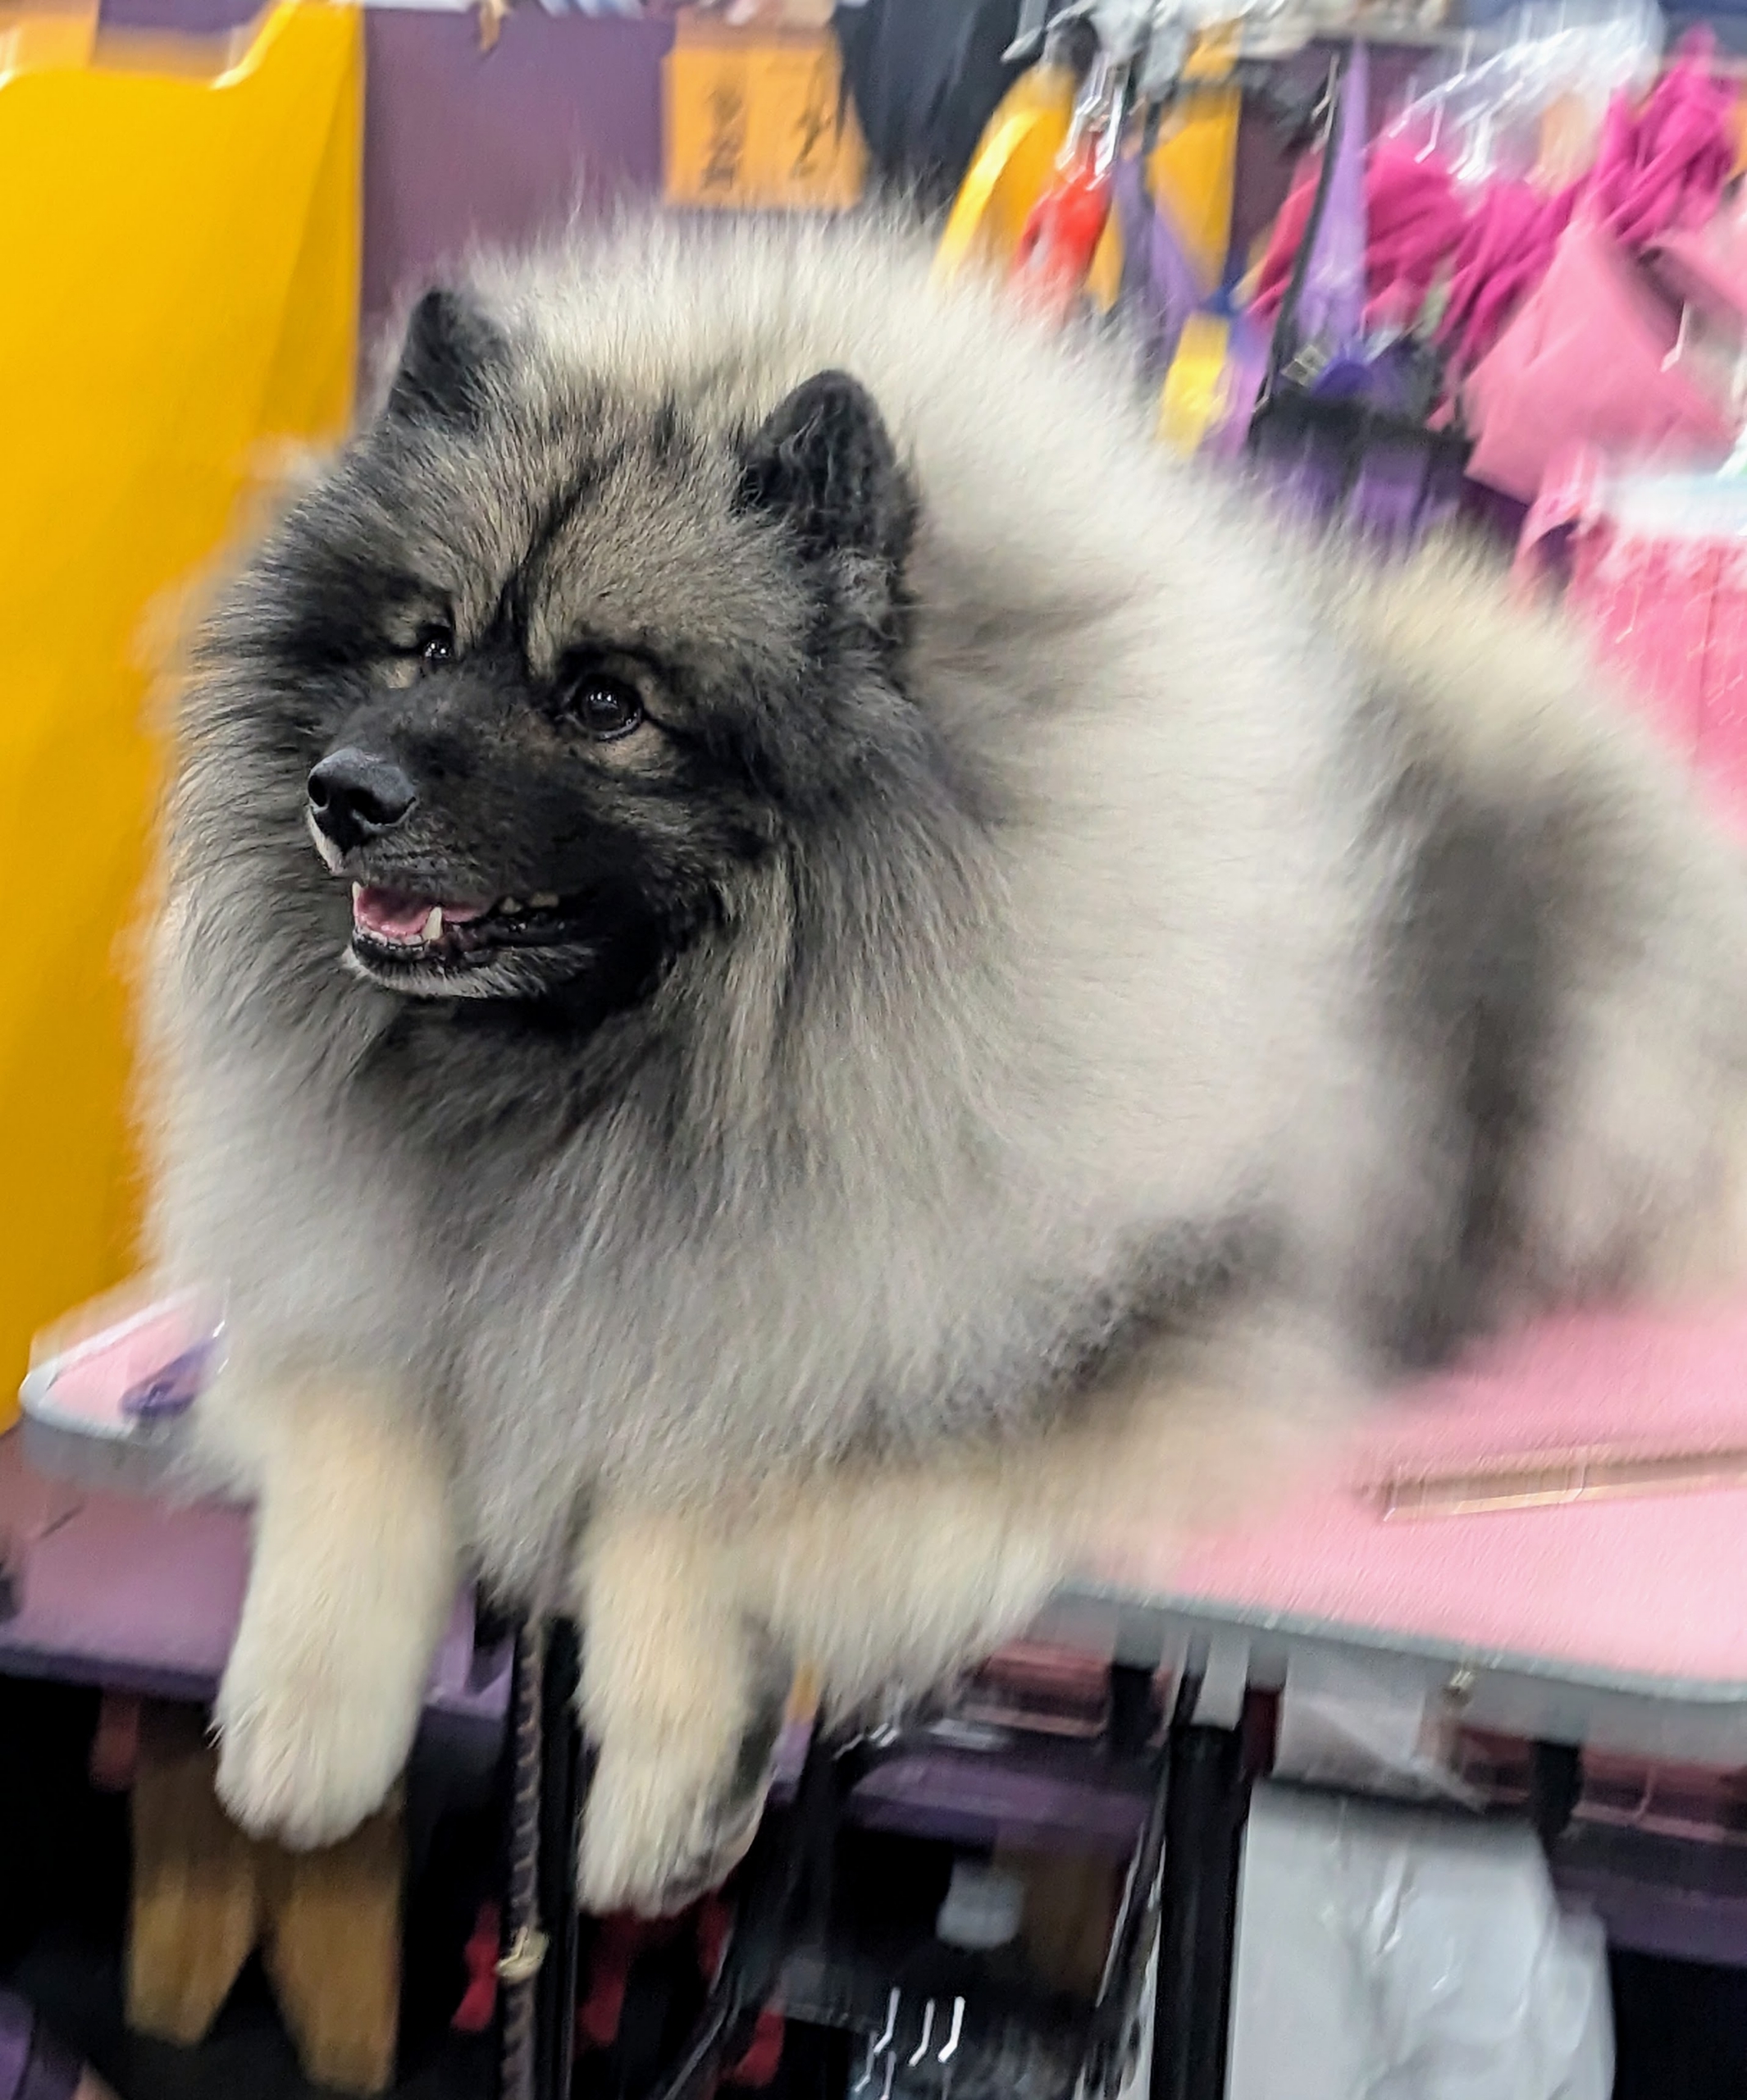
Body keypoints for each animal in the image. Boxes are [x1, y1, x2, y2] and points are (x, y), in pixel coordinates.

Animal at [144, 209, 1747, 1915]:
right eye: (424, 642)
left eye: (605, 701)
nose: (343, 791)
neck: (651, 1070)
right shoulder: (363, 1277)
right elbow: (355, 1423)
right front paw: (299, 1727)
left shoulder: (1046, 1358)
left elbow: (699, 1476)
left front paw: (671, 1789)